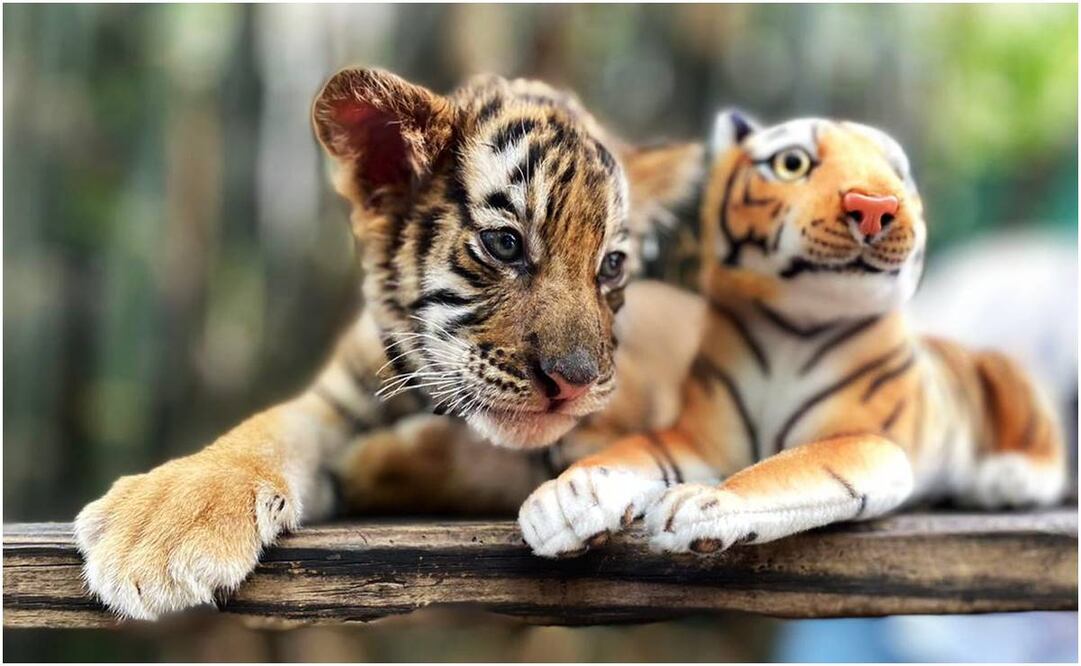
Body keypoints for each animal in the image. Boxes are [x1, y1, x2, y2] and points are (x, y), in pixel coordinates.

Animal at [72, 67, 705, 620]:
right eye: (504, 243)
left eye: (611, 266)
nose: (575, 382)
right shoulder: (335, 396)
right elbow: (265, 431)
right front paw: (159, 526)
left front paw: (370, 465)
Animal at [517, 110, 1069, 557]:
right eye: (792, 164)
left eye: (896, 172)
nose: (877, 205)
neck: (791, 329)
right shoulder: (699, 437)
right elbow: (633, 451)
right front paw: (566, 498)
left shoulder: (866, 441)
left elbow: (791, 467)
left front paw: (707, 500)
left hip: (1001, 368)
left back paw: (1006, 477)